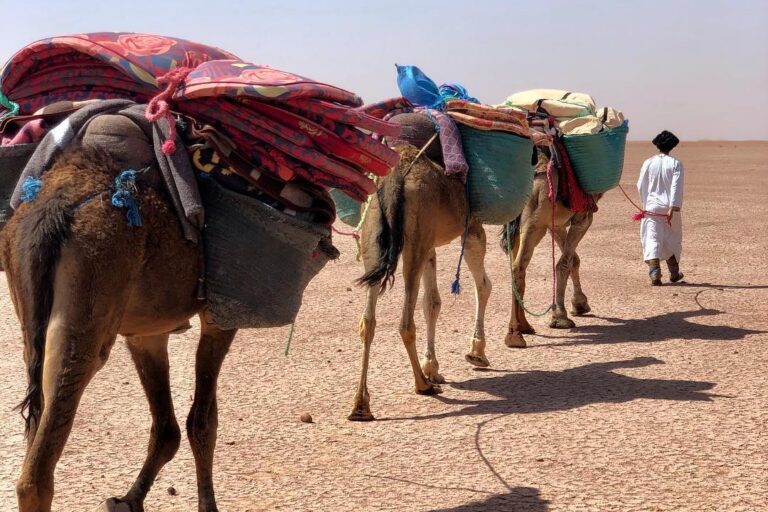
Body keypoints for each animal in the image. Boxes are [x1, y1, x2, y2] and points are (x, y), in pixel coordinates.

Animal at [1, 146, 238, 510]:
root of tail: (50, 209)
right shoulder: (221, 316)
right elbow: (202, 424)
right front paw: (207, 506)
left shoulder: (147, 333)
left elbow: (166, 429)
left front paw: (128, 500)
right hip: (88, 302)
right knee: (38, 472)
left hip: (30, 313)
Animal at [350, 143, 492, 420]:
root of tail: (395, 177)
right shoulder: (472, 226)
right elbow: (483, 286)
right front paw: (476, 353)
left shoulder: (430, 247)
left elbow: (432, 303)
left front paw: (433, 367)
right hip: (416, 236)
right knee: (406, 322)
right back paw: (422, 385)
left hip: (374, 236)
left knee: (367, 321)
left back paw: (361, 405)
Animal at [500, 146, 604, 350]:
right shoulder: (582, 217)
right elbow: (566, 262)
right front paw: (562, 316)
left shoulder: (556, 224)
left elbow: (574, 260)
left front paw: (579, 304)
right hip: (536, 221)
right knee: (519, 266)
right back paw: (516, 334)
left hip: (522, 222)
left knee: (516, 266)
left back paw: (523, 327)